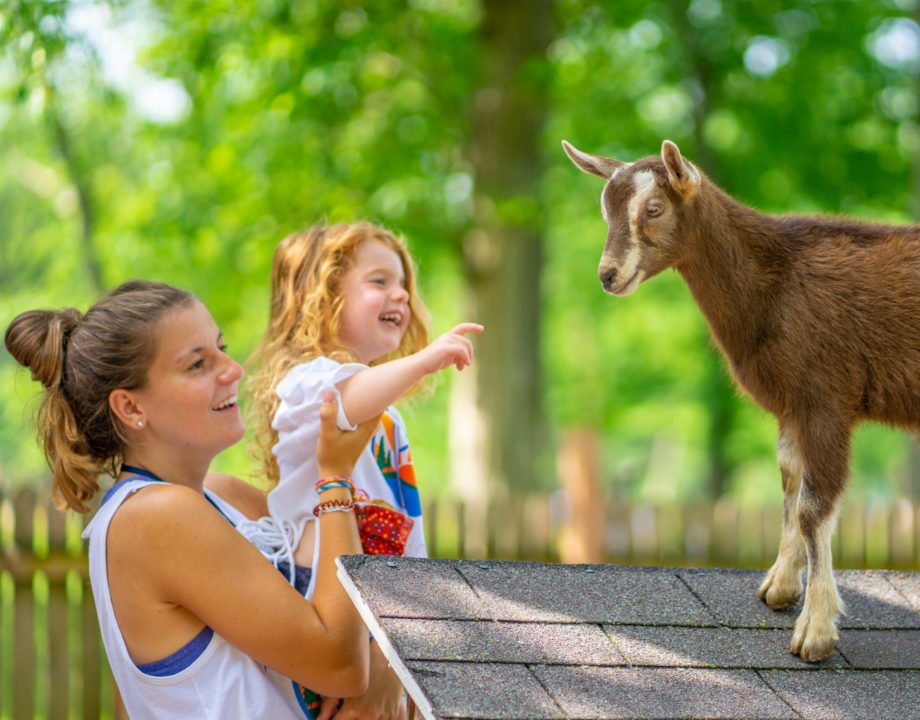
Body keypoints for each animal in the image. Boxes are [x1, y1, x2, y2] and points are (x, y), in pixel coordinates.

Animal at [564, 138, 920, 660]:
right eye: (604, 209)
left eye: (655, 208)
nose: (608, 275)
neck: (775, 282)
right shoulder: (792, 405)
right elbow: (790, 482)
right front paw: (781, 588)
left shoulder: (827, 398)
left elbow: (814, 507)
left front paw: (814, 632)